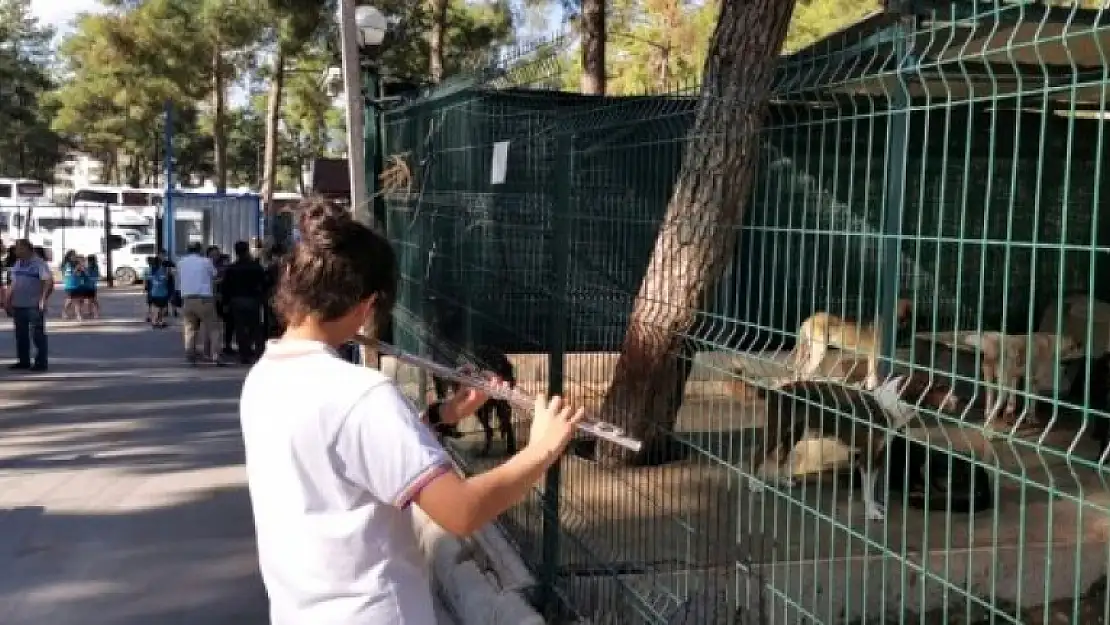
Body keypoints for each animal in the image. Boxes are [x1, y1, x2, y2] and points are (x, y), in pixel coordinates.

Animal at [754, 370, 963, 523]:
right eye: (941, 388)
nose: (959, 401)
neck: (887, 407)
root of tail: (776, 390)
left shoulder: (878, 455)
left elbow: (870, 486)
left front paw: (873, 507)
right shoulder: (867, 455)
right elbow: (867, 487)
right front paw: (871, 512)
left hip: (795, 431)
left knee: (783, 455)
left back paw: (783, 480)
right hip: (776, 430)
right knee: (758, 454)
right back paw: (754, 484)